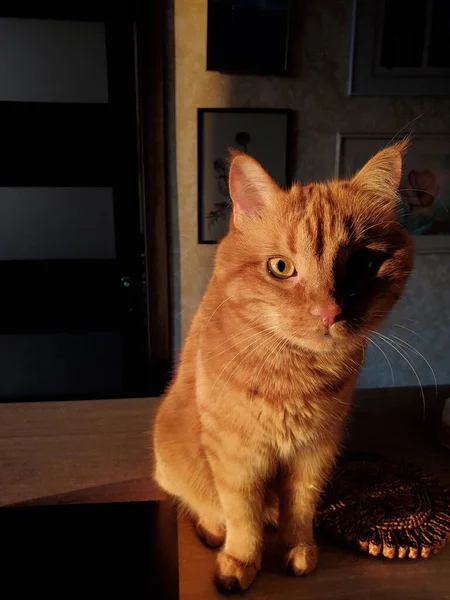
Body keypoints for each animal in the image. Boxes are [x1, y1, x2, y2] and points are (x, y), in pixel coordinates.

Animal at [153, 143, 414, 592]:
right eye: (281, 267)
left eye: (362, 264)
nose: (329, 313)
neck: (295, 370)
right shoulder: (236, 456)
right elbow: (242, 516)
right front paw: (240, 562)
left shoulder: (315, 452)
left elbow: (300, 508)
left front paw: (300, 551)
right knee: (204, 506)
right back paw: (213, 531)